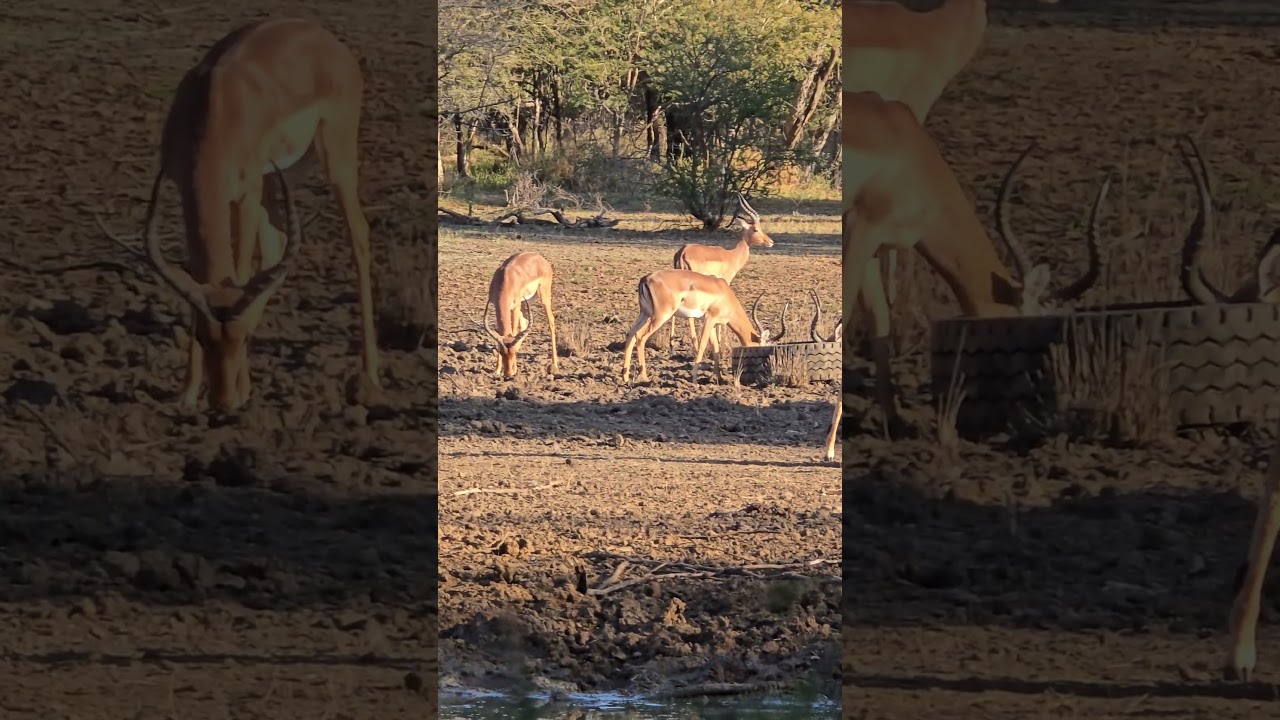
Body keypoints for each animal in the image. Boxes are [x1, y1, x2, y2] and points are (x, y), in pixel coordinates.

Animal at [95, 18, 379, 411]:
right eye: (202, 337)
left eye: (241, 340)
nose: (224, 403)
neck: (216, 108)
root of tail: (324, 38)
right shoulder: (187, 192)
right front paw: (187, 393)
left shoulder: (246, 195)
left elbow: (241, 270)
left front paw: (242, 389)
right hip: (277, 179)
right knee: (278, 246)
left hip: (332, 160)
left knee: (359, 236)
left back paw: (370, 379)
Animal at [621, 270, 785, 384]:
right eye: (764, 348)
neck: (725, 293)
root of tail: (646, 279)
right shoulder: (709, 319)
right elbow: (702, 345)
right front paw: (694, 378)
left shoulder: (713, 324)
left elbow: (716, 348)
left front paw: (720, 378)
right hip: (660, 316)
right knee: (640, 337)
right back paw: (644, 377)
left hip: (645, 314)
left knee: (631, 335)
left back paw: (625, 377)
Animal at [669, 193, 774, 353]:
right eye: (755, 229)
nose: (770, 242)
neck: (732, 256)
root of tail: (683, 252)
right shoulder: (725, 282)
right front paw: (721, 342)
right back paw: (694, 344)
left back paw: (672, 346)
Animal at [843, 91, 1109, 437]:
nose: (1041, 404)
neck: (912, 154)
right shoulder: (861, 228)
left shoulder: (876, 247)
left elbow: (880, 325)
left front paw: (896, 424)